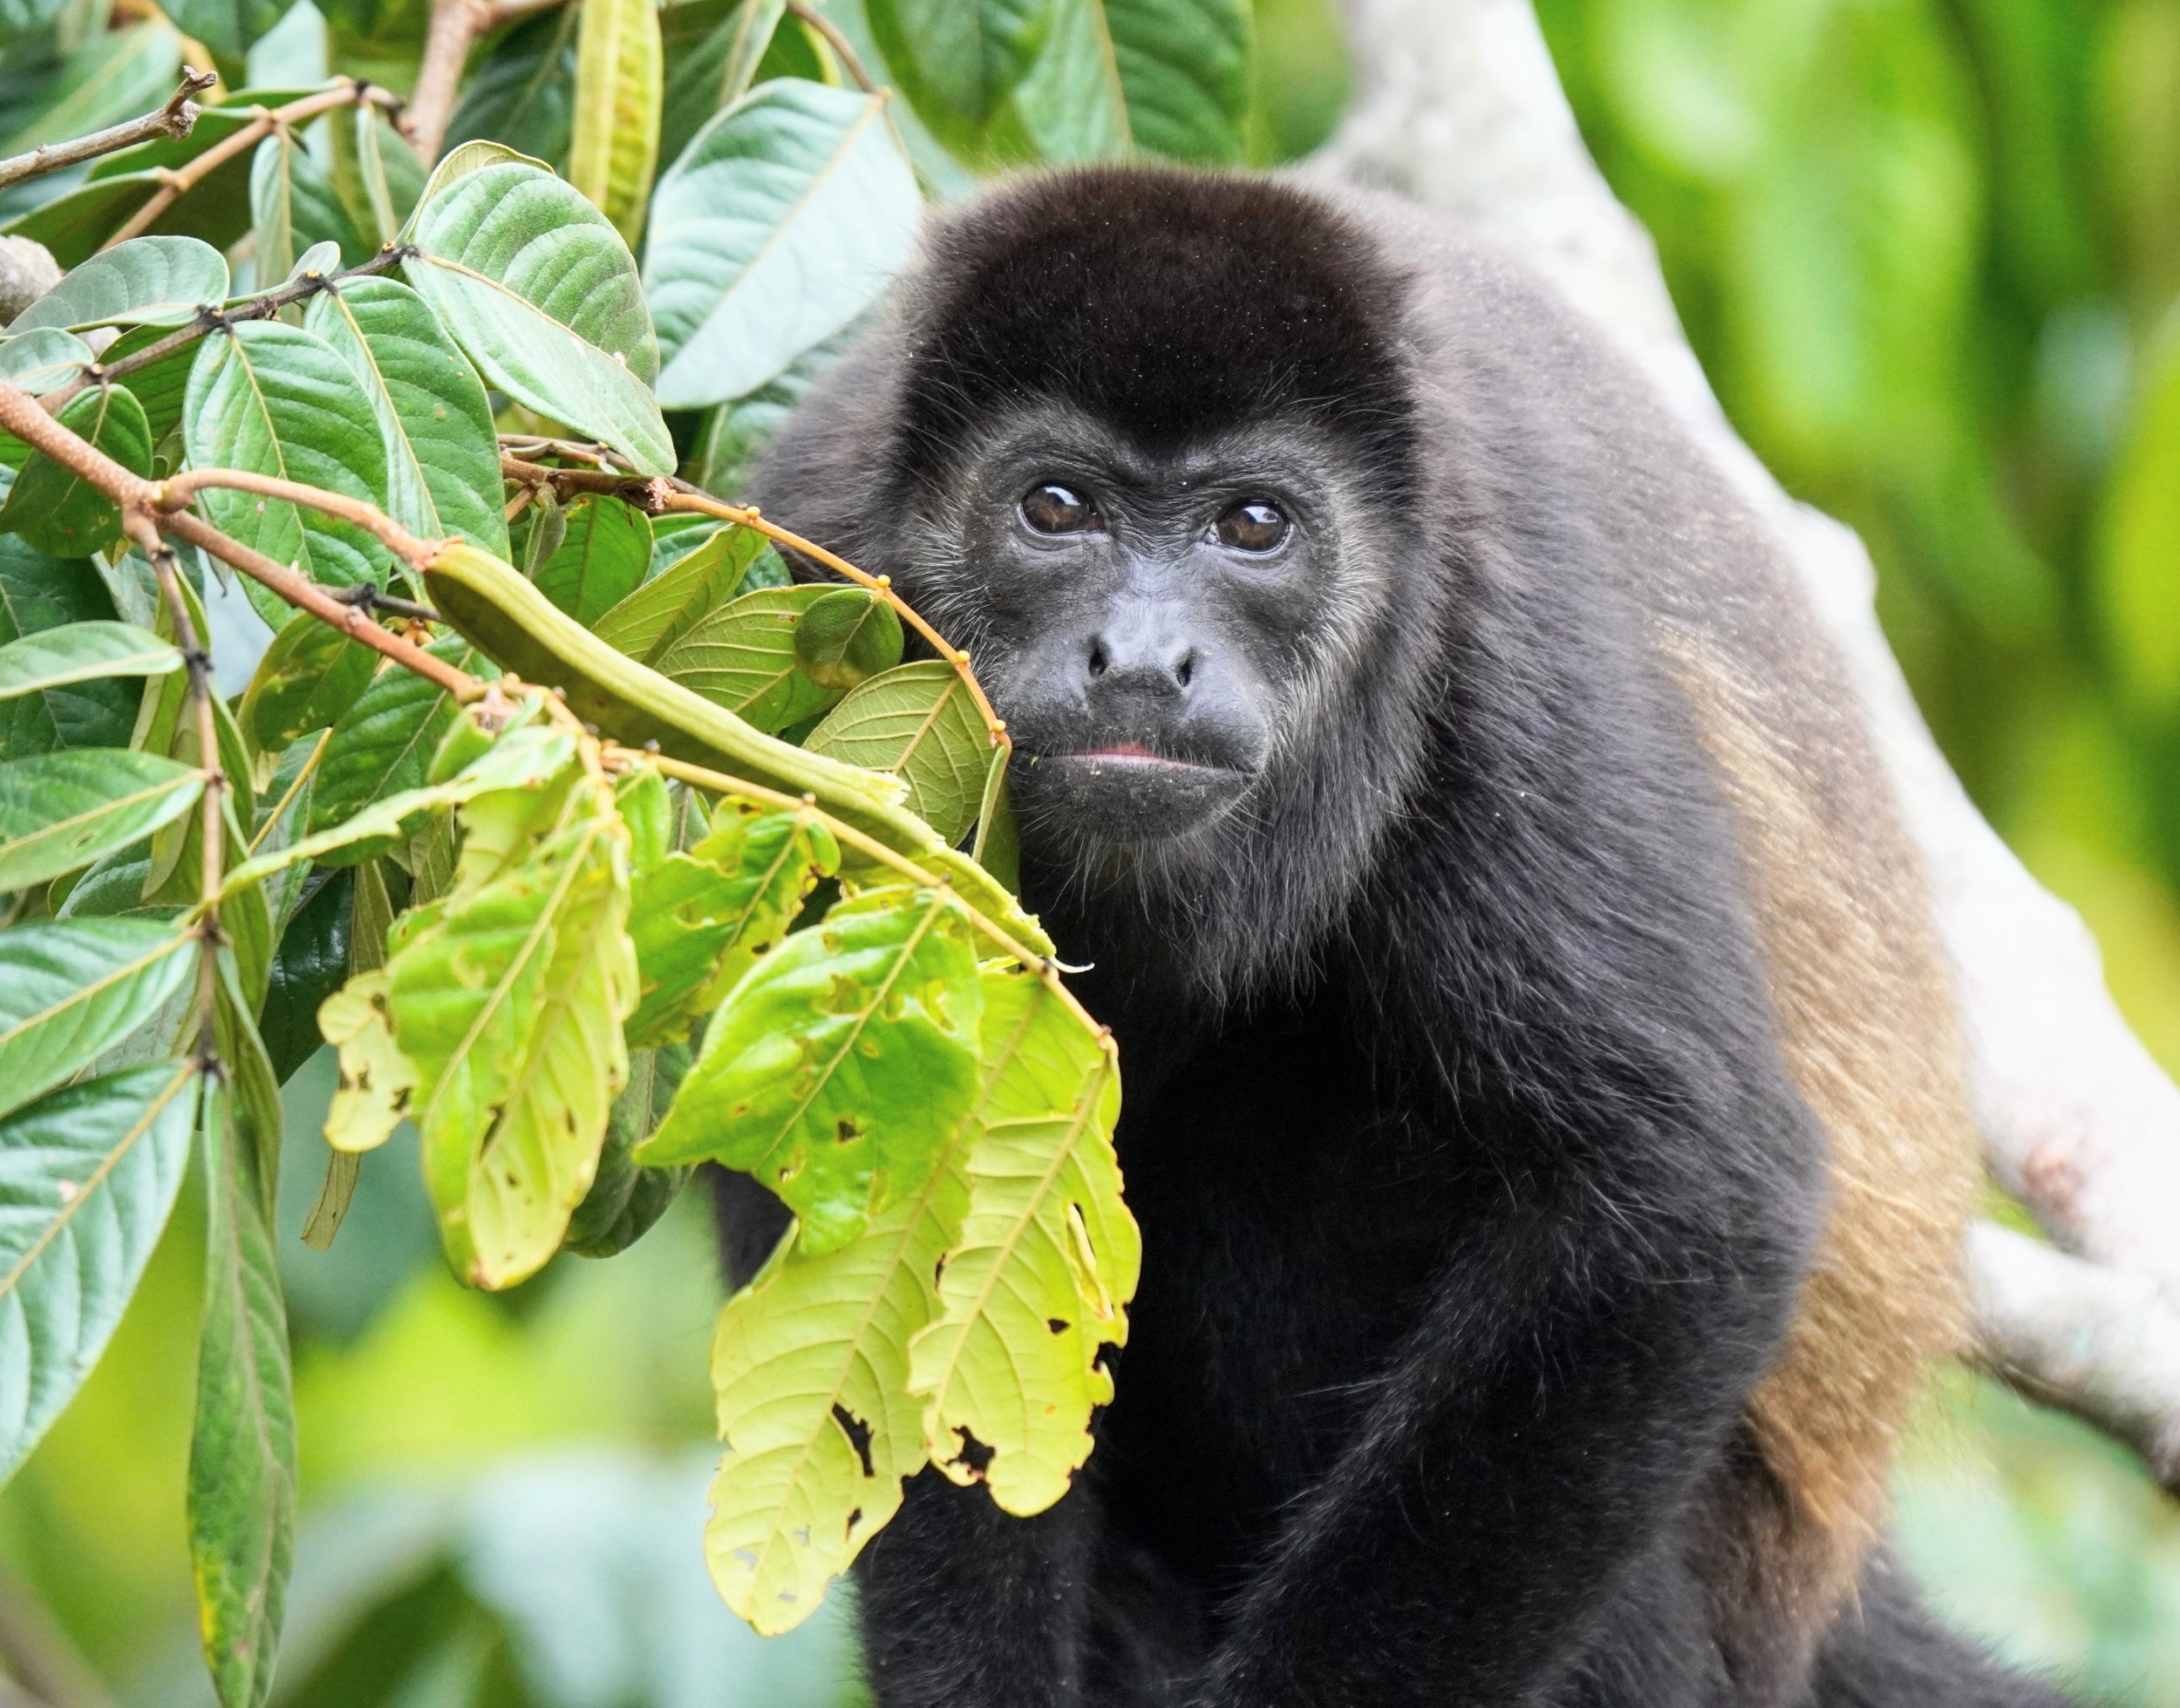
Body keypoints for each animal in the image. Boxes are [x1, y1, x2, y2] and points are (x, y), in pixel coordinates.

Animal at [712, 165, 2080, 1708]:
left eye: (1255, 525)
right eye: (1054, 505)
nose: (1144, 657)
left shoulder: (1507, 642)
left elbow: (1690, 1187)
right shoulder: (810, 543)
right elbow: (867, 1183)